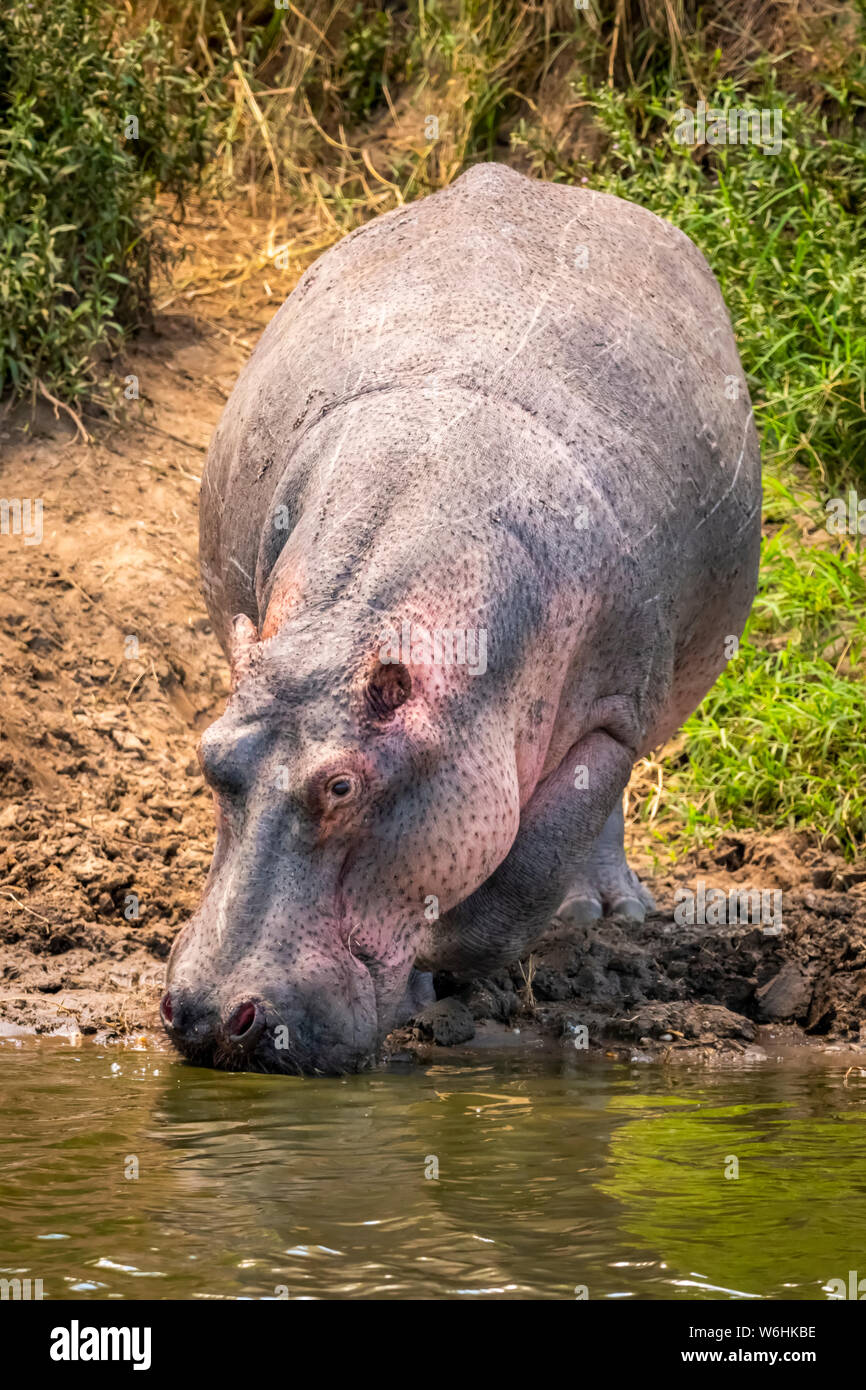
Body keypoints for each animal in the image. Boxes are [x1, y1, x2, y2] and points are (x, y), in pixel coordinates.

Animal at [161, 163, 761, 1074]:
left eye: (342, 784)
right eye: (208, 756)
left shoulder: (607, 721)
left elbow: (520, 878)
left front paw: (445, 969)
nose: (203, 1017)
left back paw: (607, 913)